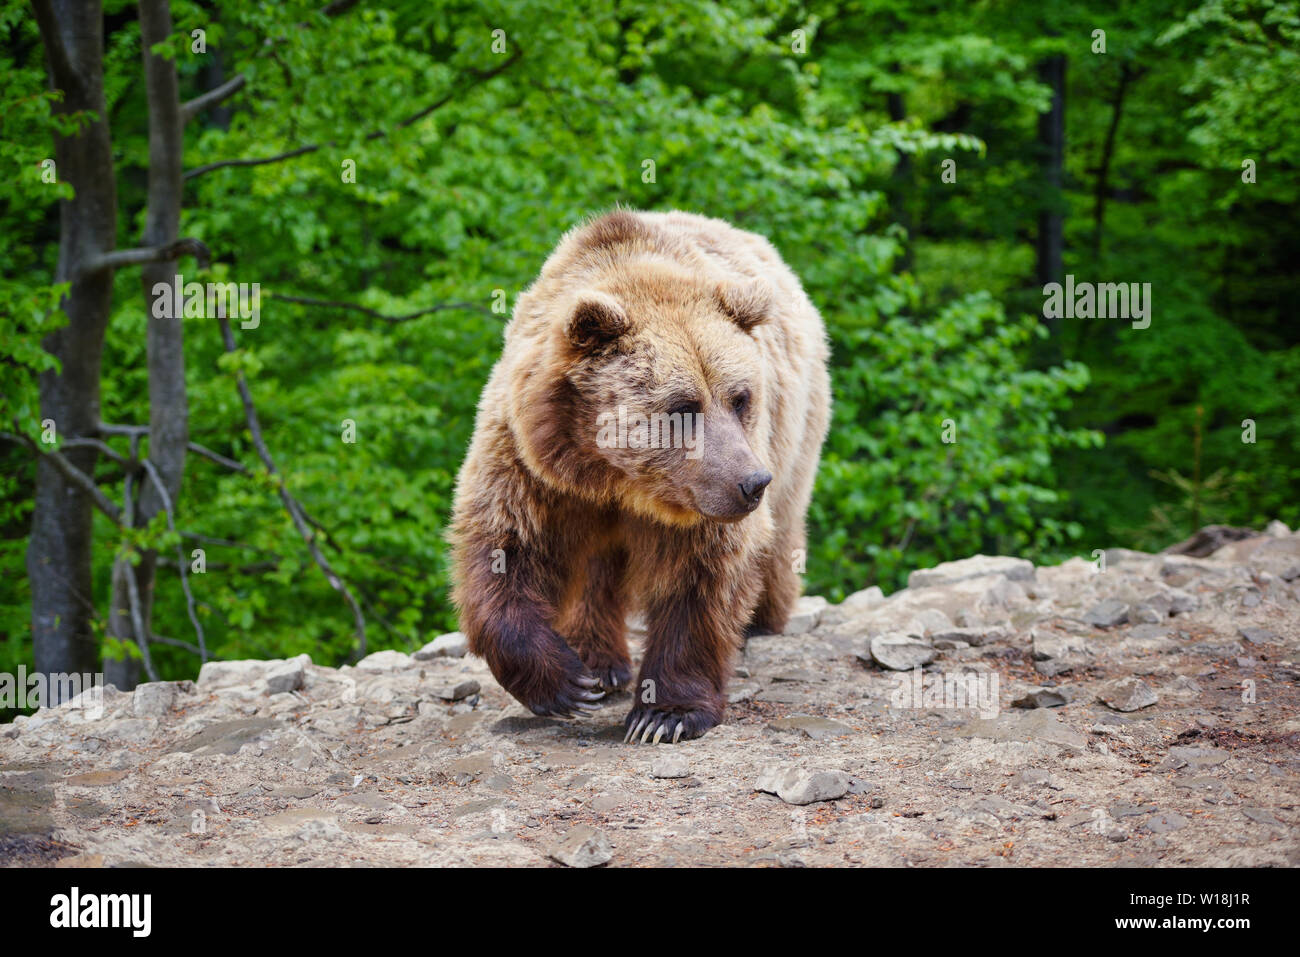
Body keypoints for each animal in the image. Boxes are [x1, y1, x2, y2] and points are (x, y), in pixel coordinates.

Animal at [448, 209, 831, 744]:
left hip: (795, 430)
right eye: (683, 407)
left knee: (782, 524)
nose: (752, 482)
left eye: (739, 397)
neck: (617, 478)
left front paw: (664, 714)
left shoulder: (700, 497)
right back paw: (598, 659)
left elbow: (701, 578)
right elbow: (505, 547)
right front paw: (567, 683)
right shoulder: (533, 465)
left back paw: (761, 620)